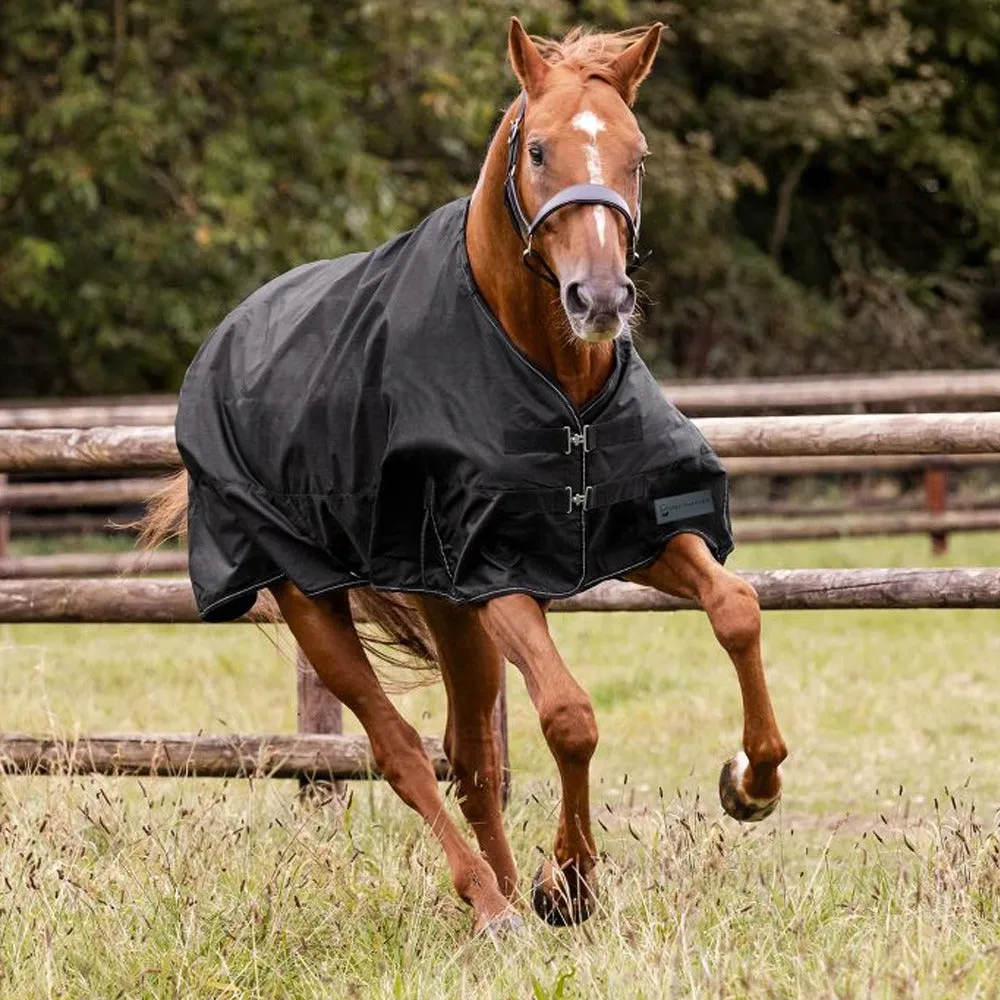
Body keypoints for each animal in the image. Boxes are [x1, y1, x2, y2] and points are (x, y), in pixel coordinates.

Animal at [141, 19, 787, 936]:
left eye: (638, 155)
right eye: (540, 149)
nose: (599, 299)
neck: (557, 384)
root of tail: (225, 340)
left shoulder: (640, 532)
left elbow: (736, 608)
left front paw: (750, 784)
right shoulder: (496, 574)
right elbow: (569, 716)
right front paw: (573, 881)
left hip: (447, 612)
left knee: (471, 754)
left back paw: (511, 895)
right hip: (316, 603)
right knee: (403, 752)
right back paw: (491, 901)